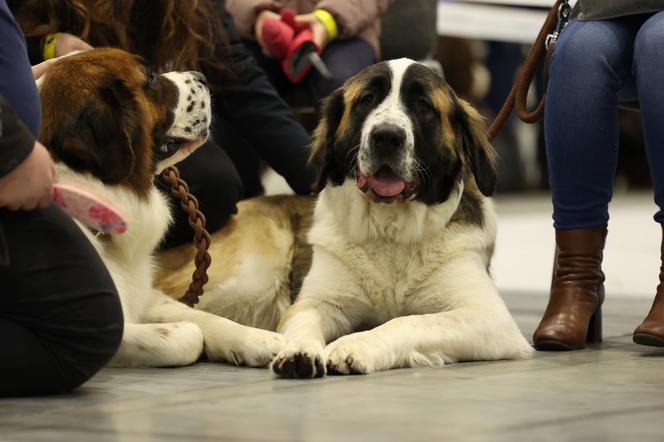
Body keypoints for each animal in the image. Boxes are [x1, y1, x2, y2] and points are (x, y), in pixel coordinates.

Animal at [39, 47, 286, 366]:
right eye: (151, 78)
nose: (201, 76)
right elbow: (189, 335)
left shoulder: (146, 294)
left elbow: (200, 316)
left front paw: (257, 338)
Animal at [157, 57, 536, 378]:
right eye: (367, 100)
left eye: (423, 106)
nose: (387, 136)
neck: (390, 230)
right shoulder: (316, 302)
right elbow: (303, 320)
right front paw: (298, 351)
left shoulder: (488, 317)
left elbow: (409, 321)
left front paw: (355, 346)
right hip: (249, 275)